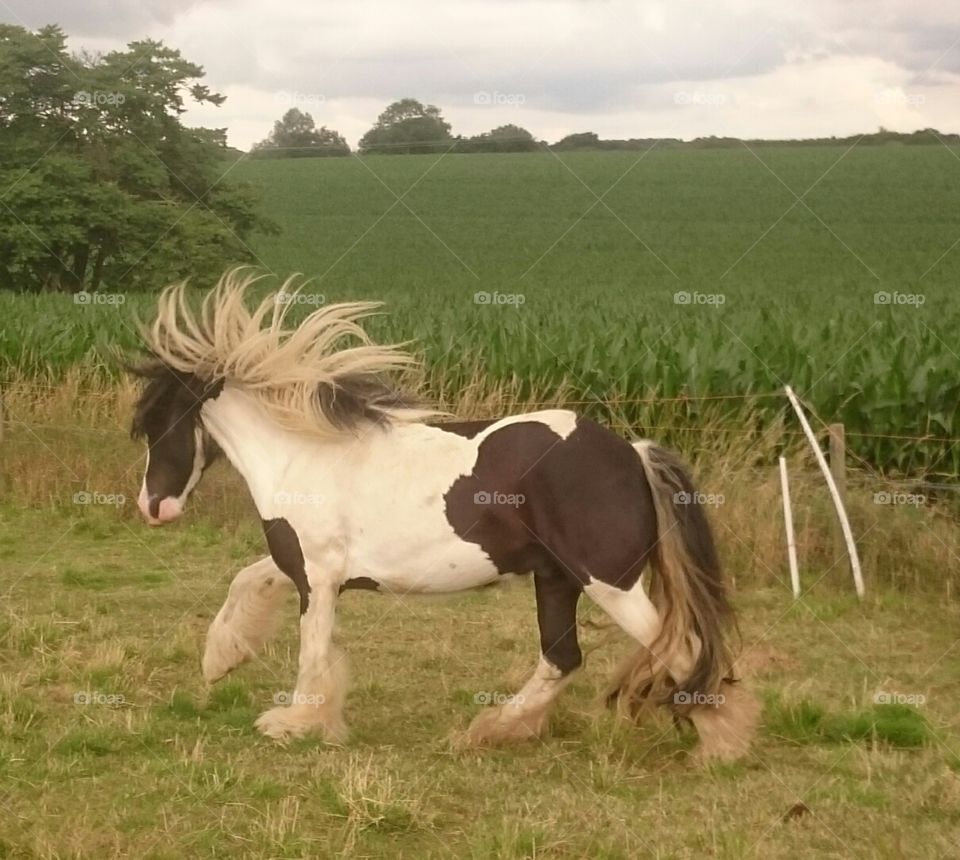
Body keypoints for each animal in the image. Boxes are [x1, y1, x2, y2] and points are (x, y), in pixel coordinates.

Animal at [131, 274, 756, 760]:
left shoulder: (318, 576)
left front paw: (292, 724)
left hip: (610, 583)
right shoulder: (306, 565)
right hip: (557, 579)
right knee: (562, 658)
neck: (302, 453)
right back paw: (491, 731)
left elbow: (312, 649)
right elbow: (250, 581)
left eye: (159, 423)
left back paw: (723, 746)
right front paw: (220, 660)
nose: (152, 508)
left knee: (682, 652)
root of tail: (633, 452)